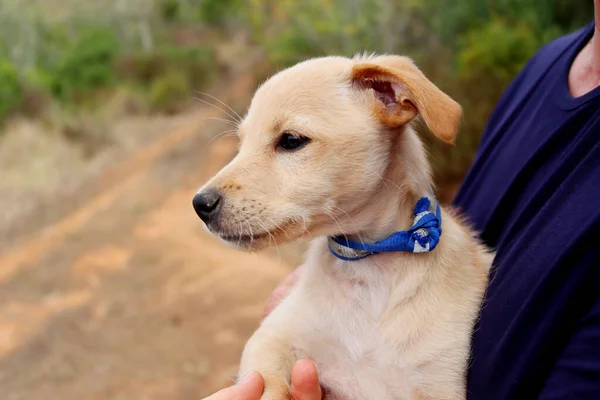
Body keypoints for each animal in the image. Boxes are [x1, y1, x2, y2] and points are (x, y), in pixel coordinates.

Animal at [193, 54, 492, 400]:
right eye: (242, 143)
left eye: (291, 140)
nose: (200, 205)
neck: (368, 268)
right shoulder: (272, 337)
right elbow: (266, 383)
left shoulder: (438, 384)